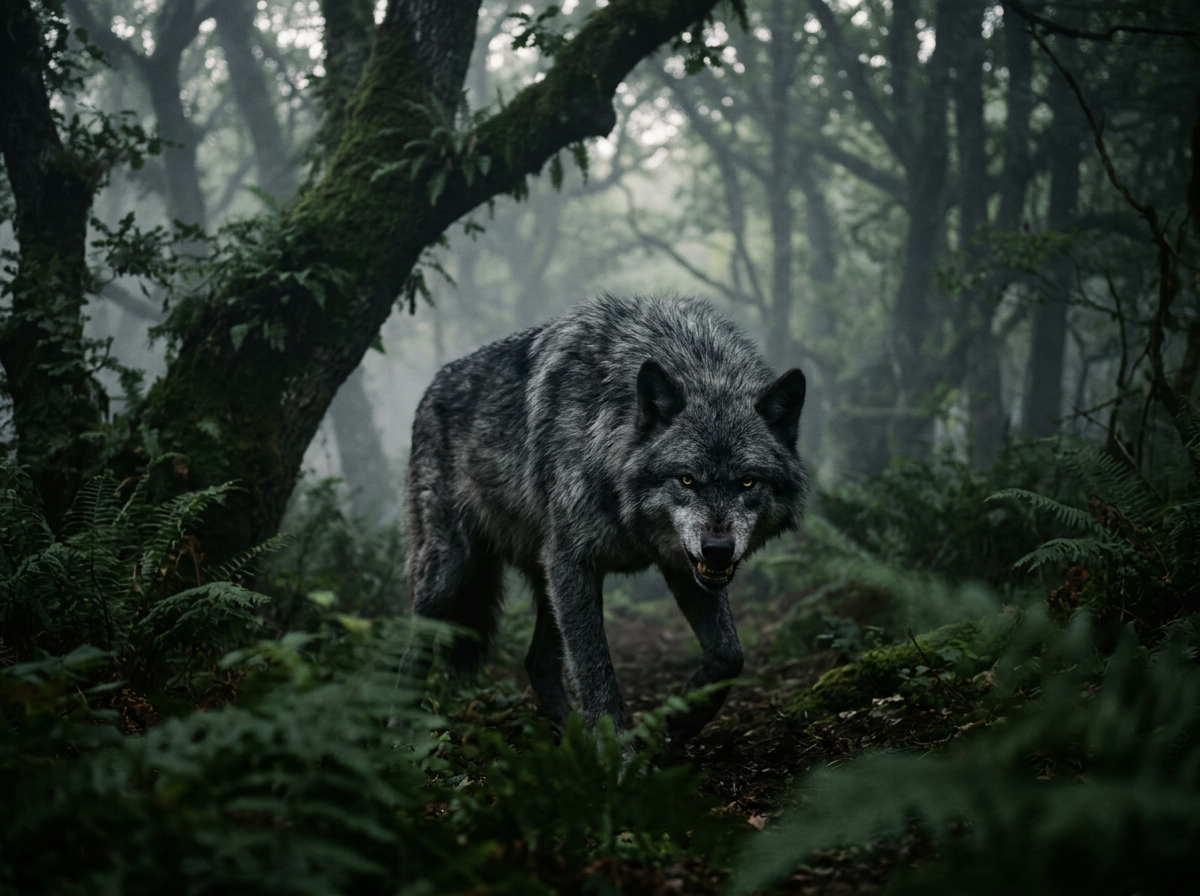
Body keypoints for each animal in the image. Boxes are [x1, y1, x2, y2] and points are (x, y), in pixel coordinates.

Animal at [401, 295, 807, 738]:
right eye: (686, 479)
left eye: (747, 482)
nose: (718, 549)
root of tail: (430, 389)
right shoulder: (574, 564)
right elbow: (596, 674)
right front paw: (616, 752)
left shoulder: (681, 566)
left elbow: (729, 655)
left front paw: (686, 717)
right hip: (450, 570)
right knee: (410, 646)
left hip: (545, 580)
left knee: (536, 662)